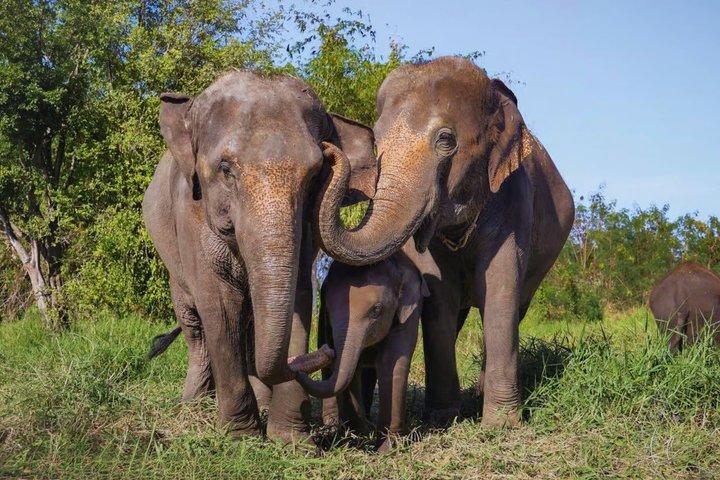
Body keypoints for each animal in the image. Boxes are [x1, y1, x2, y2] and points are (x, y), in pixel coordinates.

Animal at [142, 70, 375, 442]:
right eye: (225, 168)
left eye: (315, 173)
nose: (326, 351)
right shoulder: (191, 213)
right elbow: (219, 305)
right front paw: (240, 436)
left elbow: (298, 298)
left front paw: (292, 441)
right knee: (194, 324)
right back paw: (193, 403)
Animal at [294, 241, 428, 451]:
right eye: (329, 308)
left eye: (377, 310)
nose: (327, 350)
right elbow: (352, 368)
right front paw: (359, 435)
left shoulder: (411, 311)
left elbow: (392, 360)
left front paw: (387, 447)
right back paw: (334, 425)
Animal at [311, 56, 575, 427]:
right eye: (376, 143)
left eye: (446, 140)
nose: (327, 148)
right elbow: (439, 295)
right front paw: (441, 419)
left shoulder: (515, 196)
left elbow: (501, 288)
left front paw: (501, 425)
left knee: (516, 305)